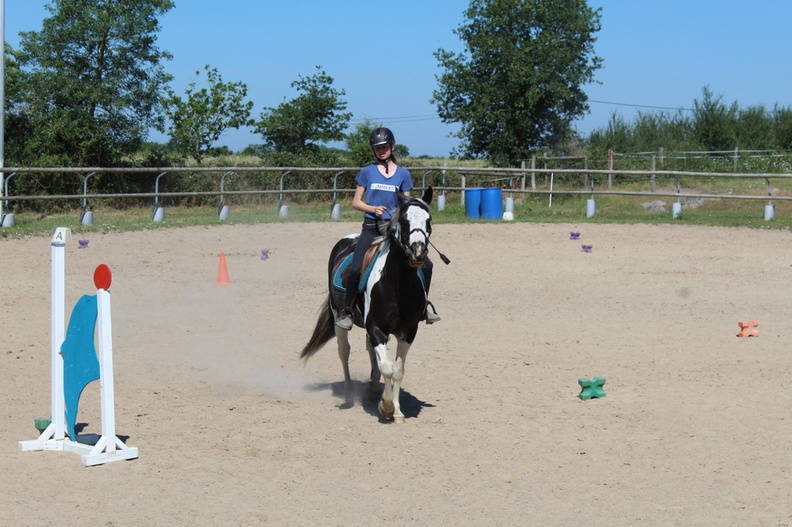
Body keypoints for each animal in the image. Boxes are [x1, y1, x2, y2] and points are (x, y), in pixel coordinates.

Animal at [304, 188, 436, 422]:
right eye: (403, 220)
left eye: (428, 220)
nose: (418, 250)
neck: (398, 285)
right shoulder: (376, 327)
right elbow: (387, 367)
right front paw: (386, 407)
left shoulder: (409, 330)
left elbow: (398, 370)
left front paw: (397, 410)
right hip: (339, 317)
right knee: (344, 351)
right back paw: (349, 393)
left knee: (369, 350)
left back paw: (373, 386)